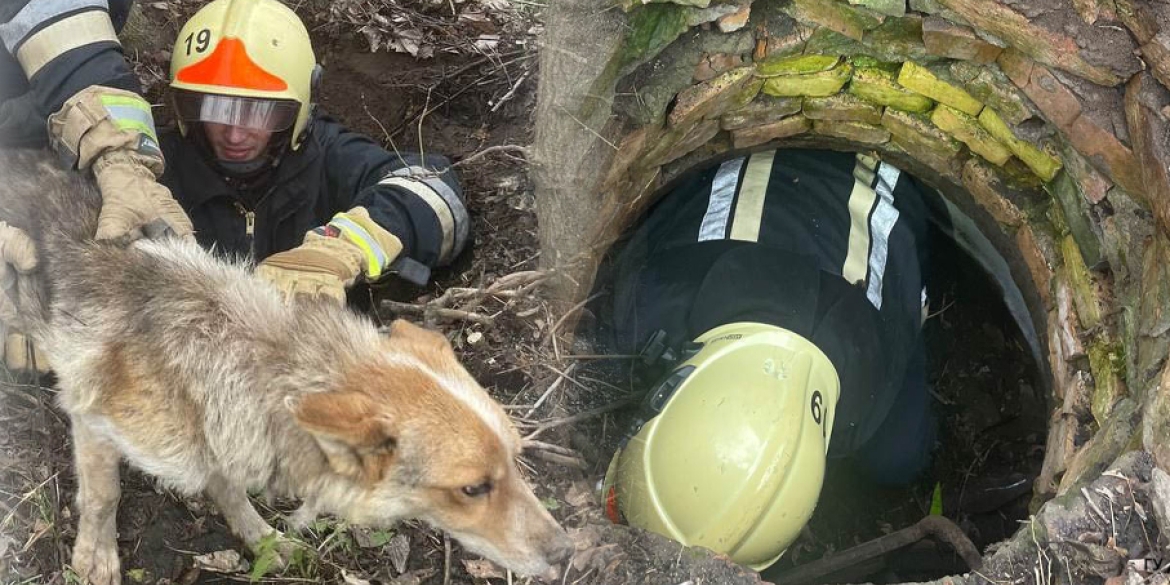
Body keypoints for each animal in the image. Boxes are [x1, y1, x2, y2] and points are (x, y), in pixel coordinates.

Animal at [0, 152, 573, 585]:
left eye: (517, 460)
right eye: (473, 488)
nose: (569, 552)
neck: (240, 356)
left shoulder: (223, 438)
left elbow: (229, 488)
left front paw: (257, 535)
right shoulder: (92, 419)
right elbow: (104, 496)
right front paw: (95, 558)